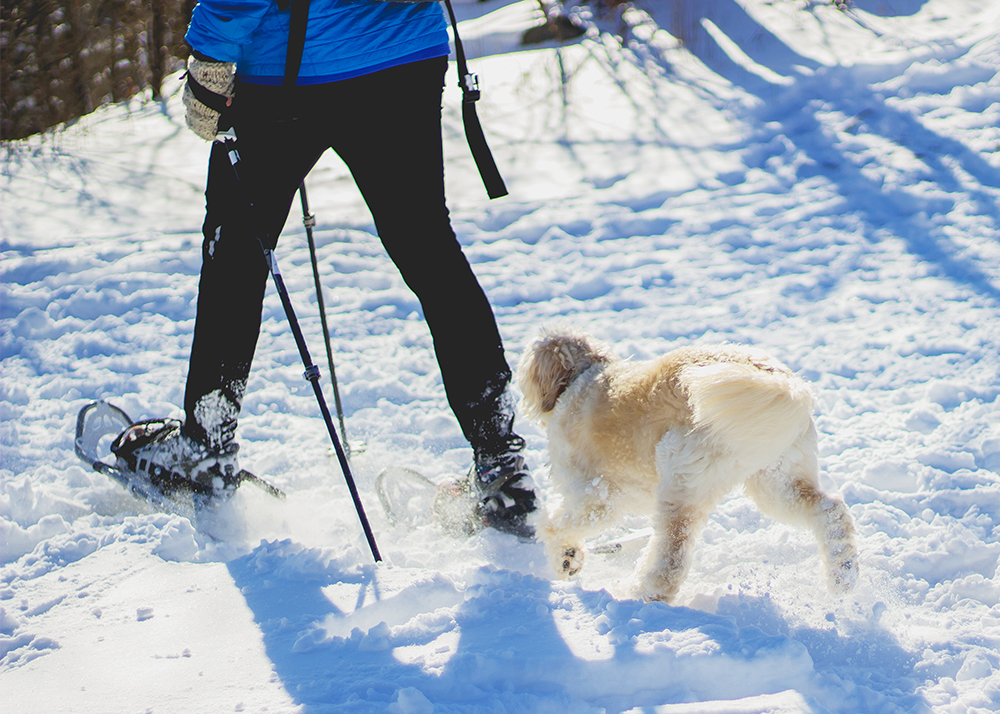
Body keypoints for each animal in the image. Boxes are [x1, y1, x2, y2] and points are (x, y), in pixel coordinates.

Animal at [516, 326, 860, 600]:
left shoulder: (596, 497)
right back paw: (843, 577)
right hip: (777, 481)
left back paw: (643, 594)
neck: (581, 377)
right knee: (831, 512)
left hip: (681, 480)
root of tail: (784, 383)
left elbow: (555, 526)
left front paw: (565, 557)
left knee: (672, 557)